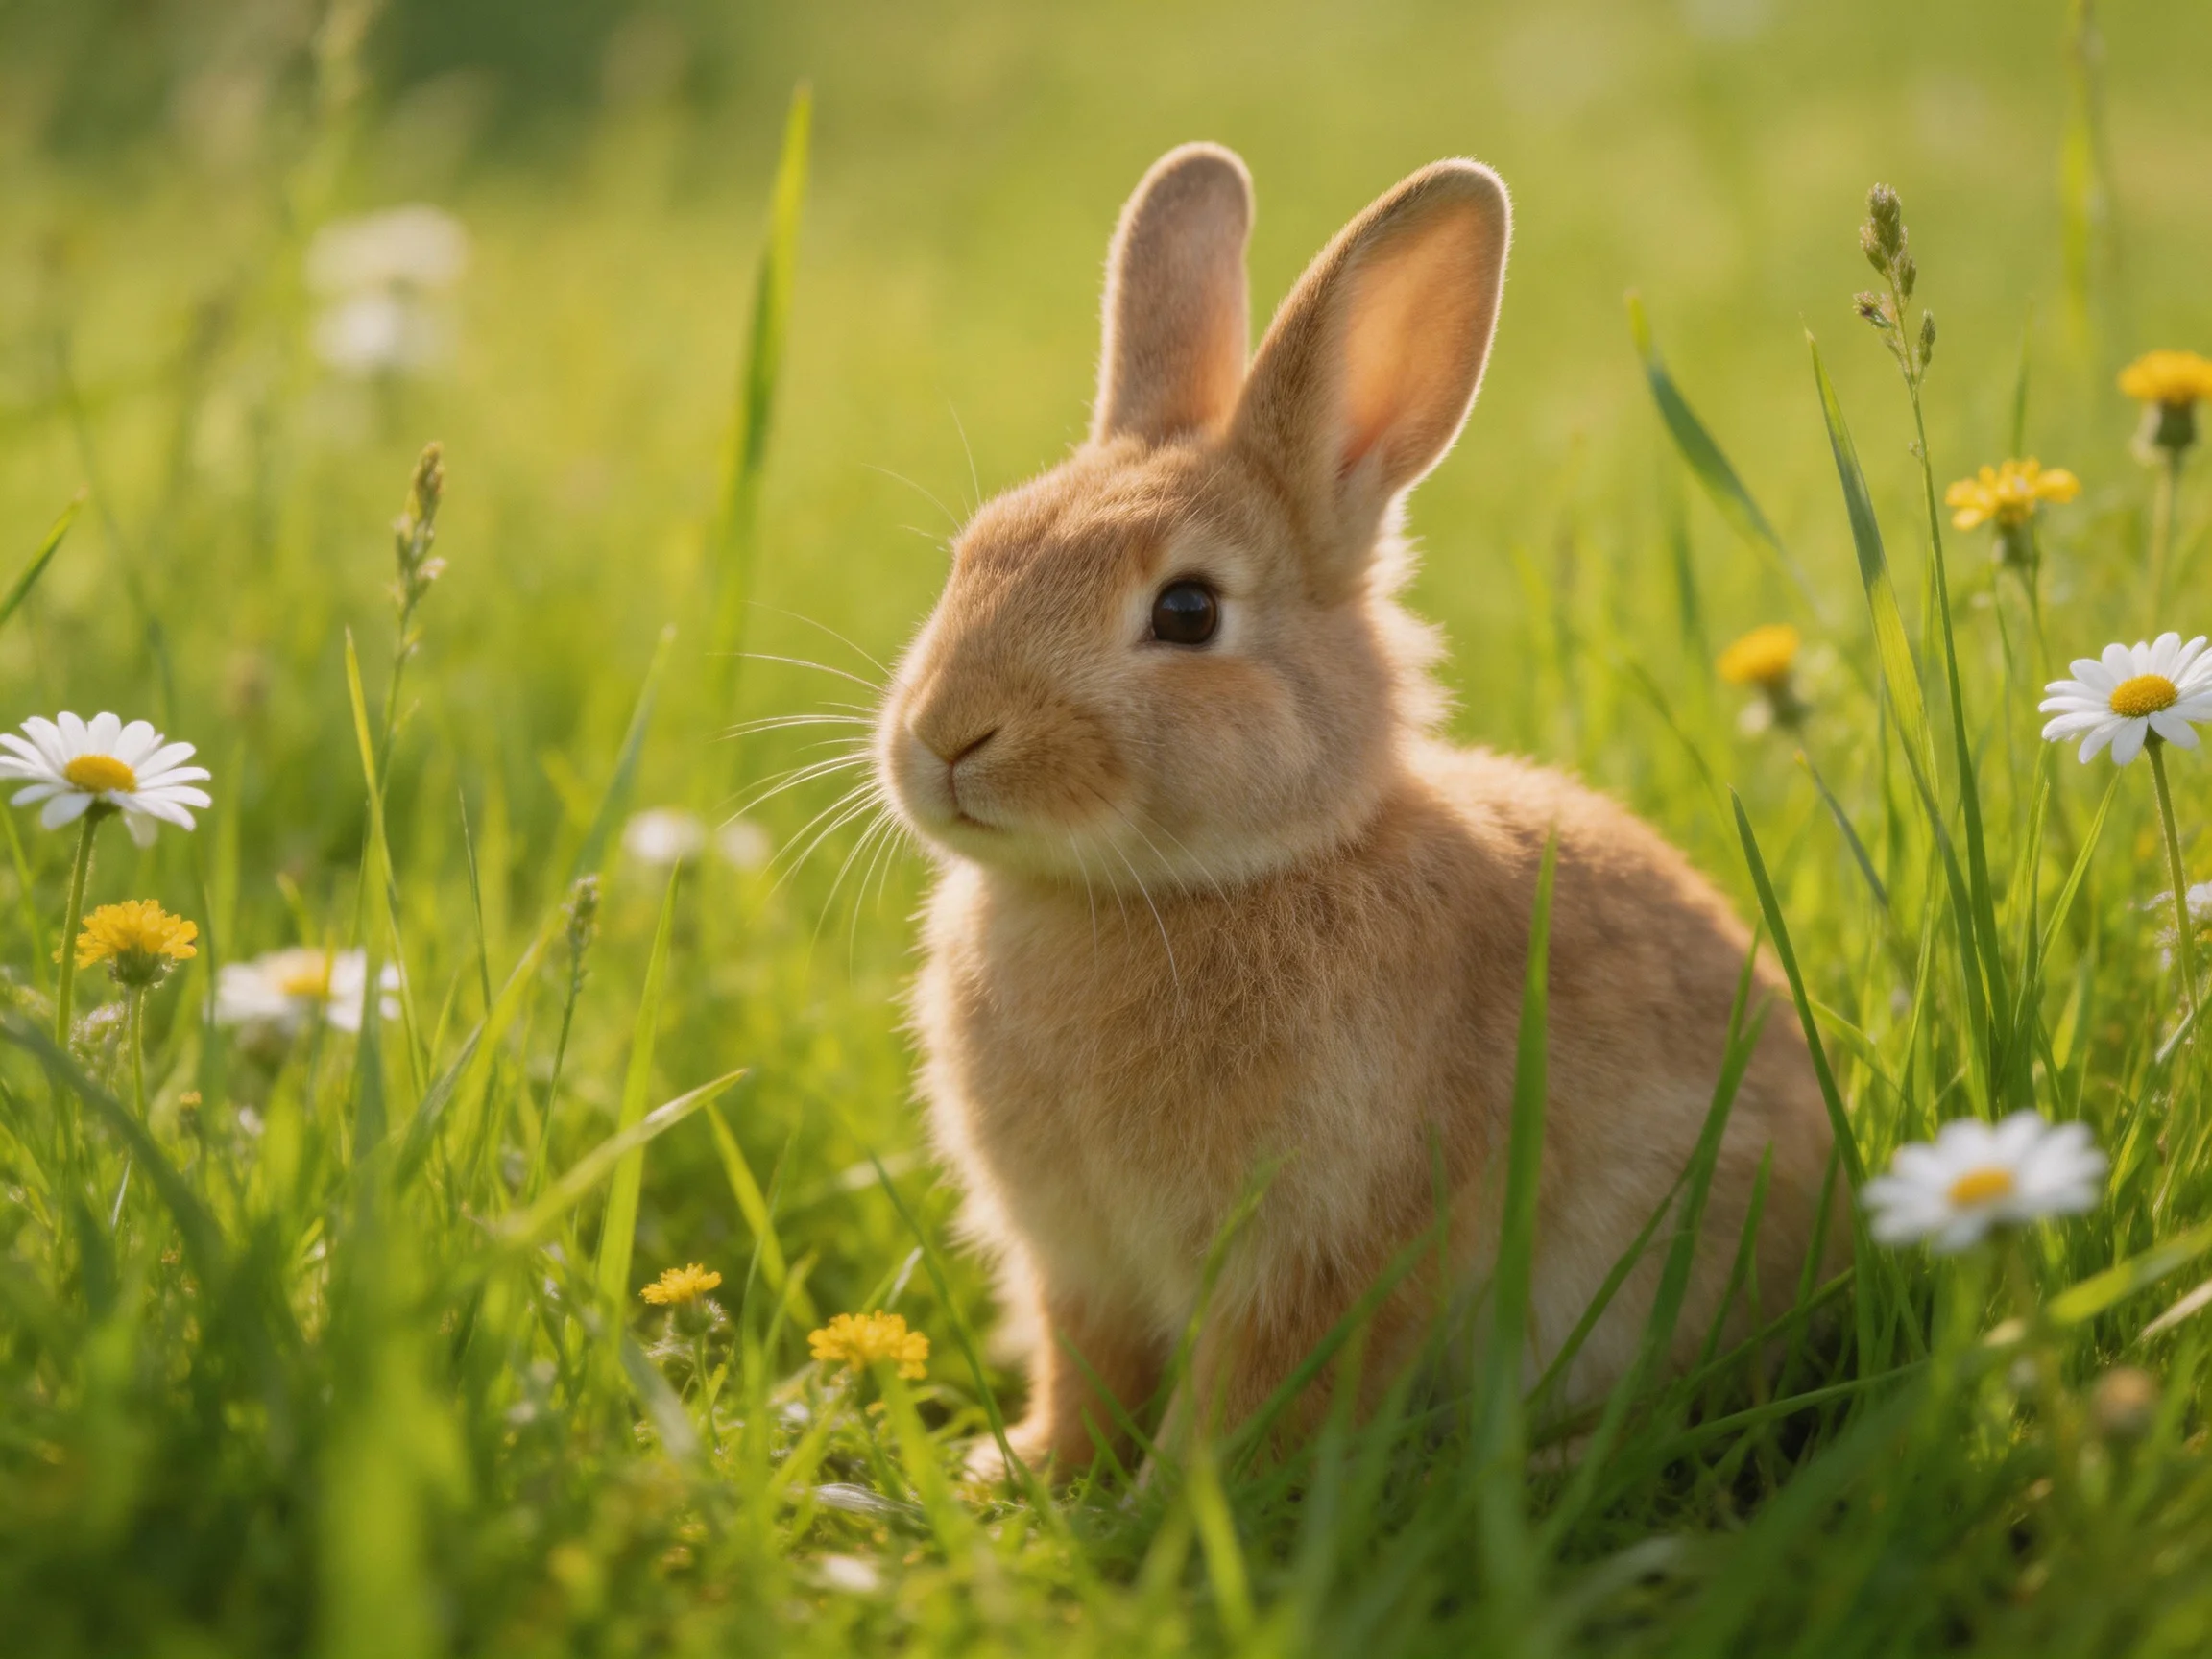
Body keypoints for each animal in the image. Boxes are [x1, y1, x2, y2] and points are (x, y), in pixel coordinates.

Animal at [872, 142, 1837, 1477]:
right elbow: (1086, 1371)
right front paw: (1025, 1472)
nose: (946, 737)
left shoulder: (1320, 1251)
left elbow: (1254, 1399)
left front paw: (1170, 1505)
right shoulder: (1080, 1264)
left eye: (1187, 612)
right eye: (974, 553)